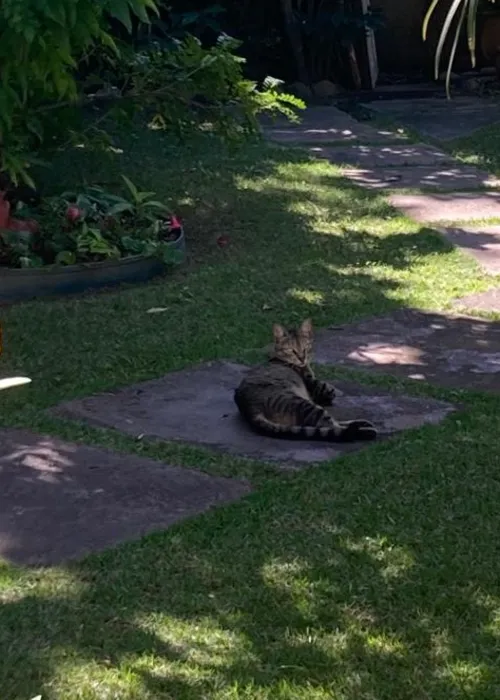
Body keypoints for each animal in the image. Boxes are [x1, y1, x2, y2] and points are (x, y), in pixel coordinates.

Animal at [236, 318, 376, 440]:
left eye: (305, 347)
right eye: (292, 350)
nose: (302, 358)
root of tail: (250, 408)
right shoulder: (315, 385)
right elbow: (327, 390)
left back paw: (362, 424)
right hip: (305, 404)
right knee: (332, 427)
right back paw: (364, 430)